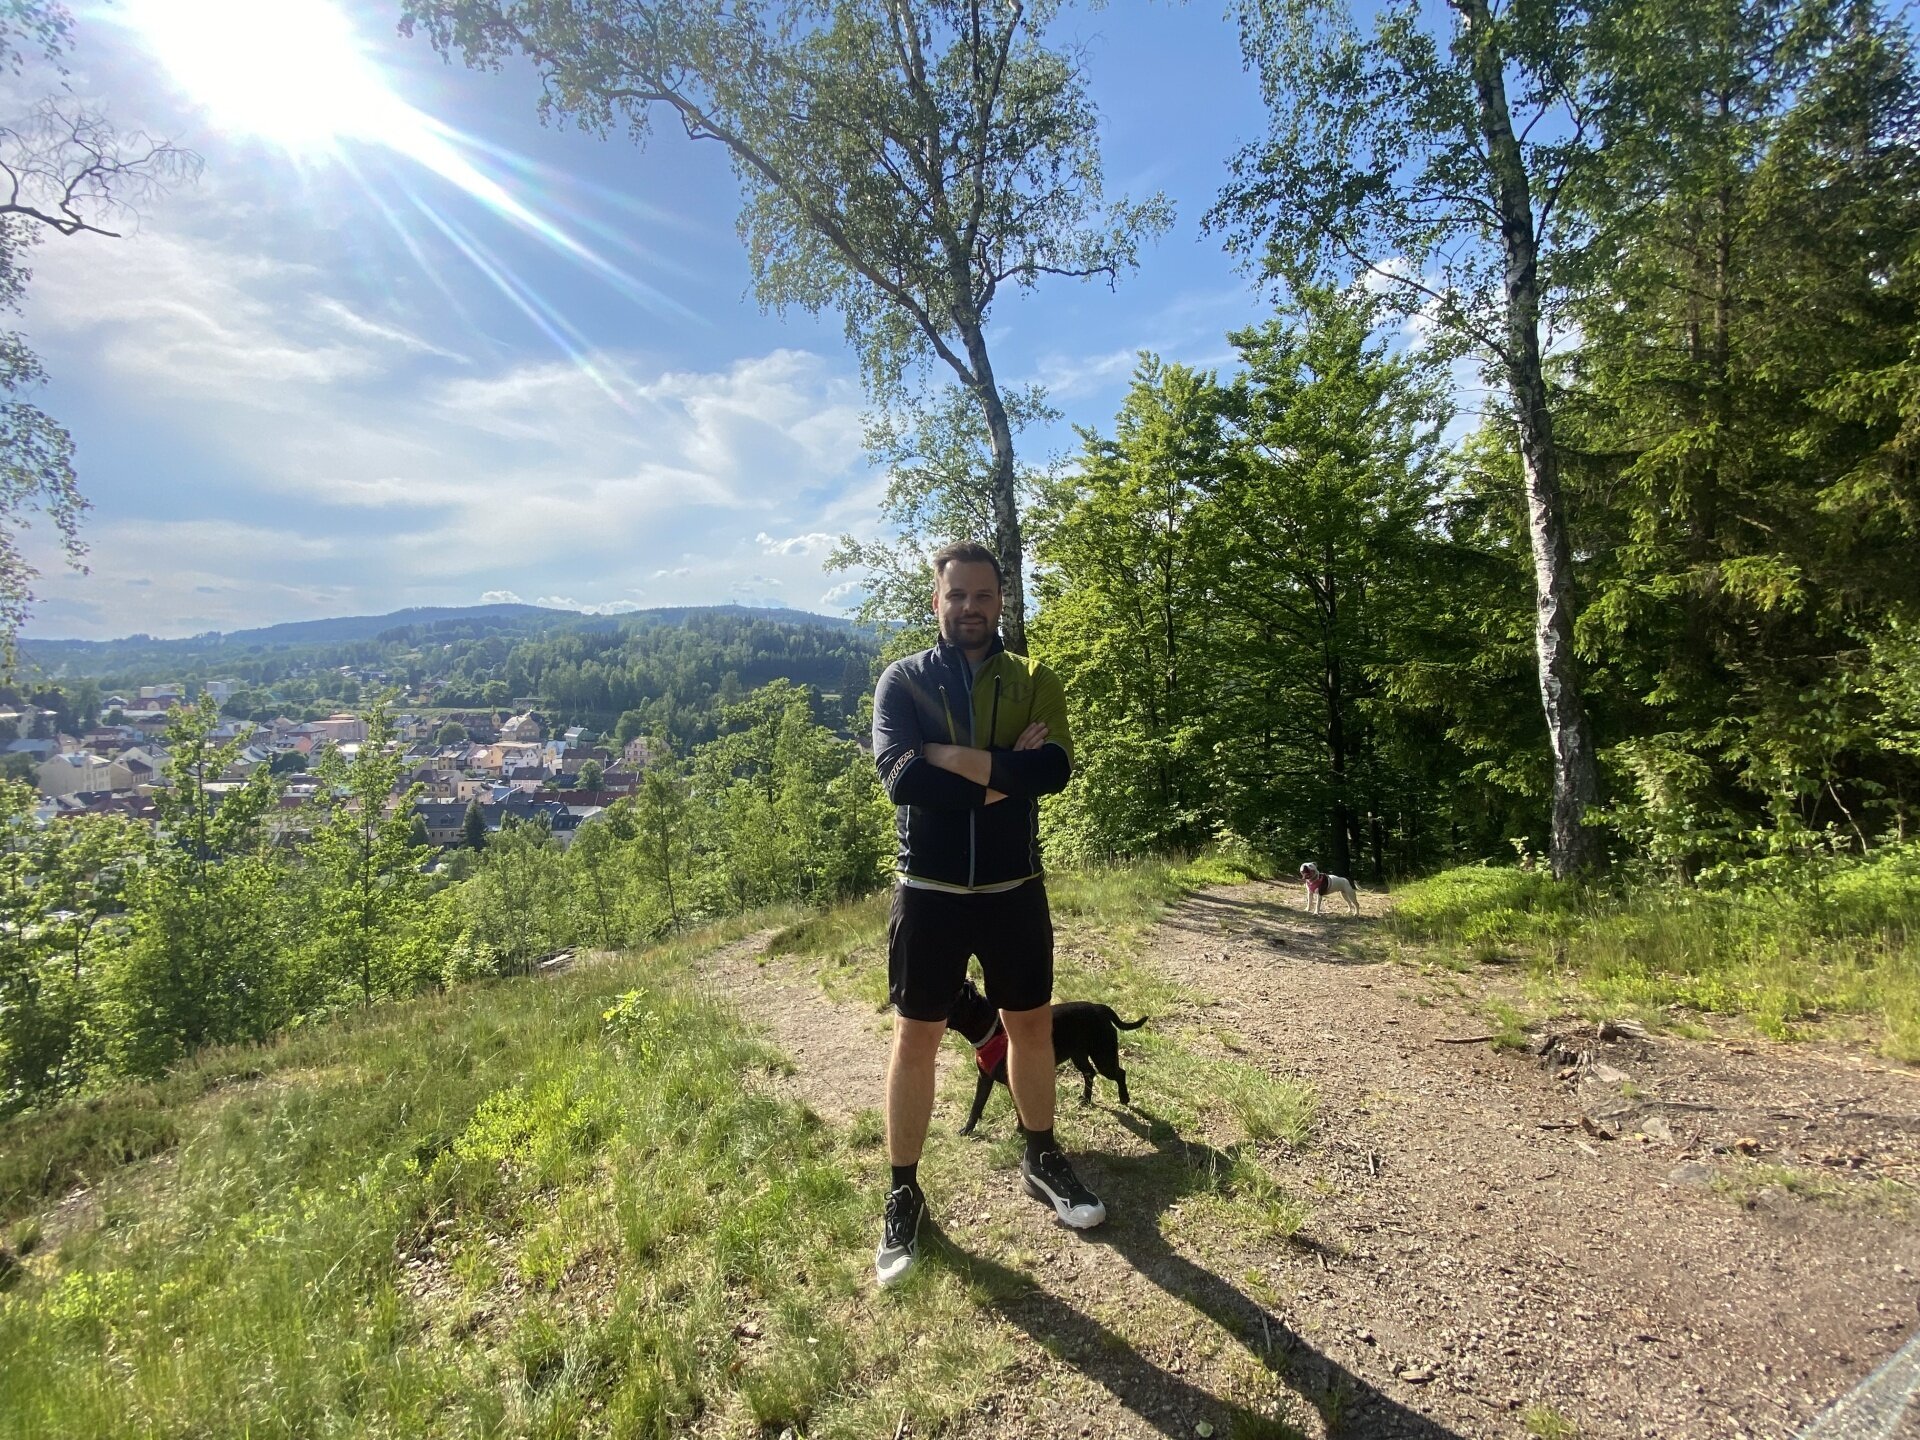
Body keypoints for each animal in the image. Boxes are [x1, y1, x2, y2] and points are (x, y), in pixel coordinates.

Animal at [945, 977, 1148, 1135]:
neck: (993, 1029)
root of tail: (1100, 1008)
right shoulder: (985, 1078)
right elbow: (976, 1105)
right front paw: (968, 1129)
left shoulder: (1014, 1082)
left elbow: (1019, 1109)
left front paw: (1021, 1131)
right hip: (1079, 1056)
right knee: (1090, 1073)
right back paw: (1086, 1098)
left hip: (1103, 1057)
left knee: (1119, 1073)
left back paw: (1124, 1098)